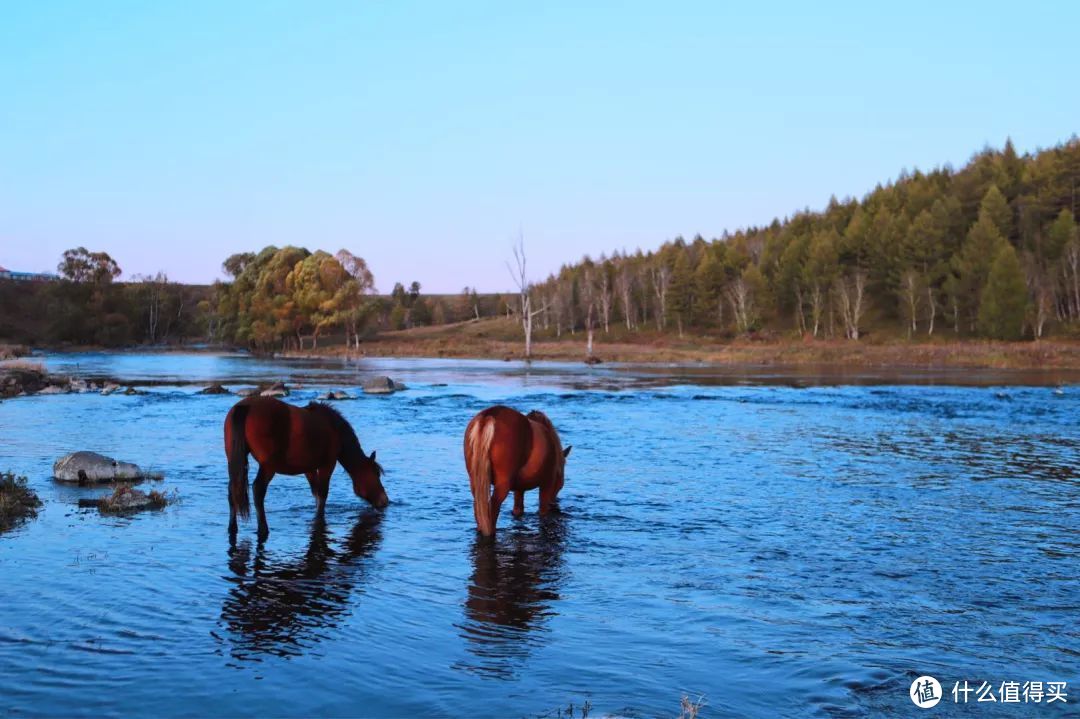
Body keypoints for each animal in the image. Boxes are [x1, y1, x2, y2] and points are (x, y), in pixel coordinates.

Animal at [221, 395, 386, 535]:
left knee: (232, 490)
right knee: (258, 490)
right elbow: (323, 494)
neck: (334, 428)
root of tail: (245, 407)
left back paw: (232, 527)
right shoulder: (328, 464)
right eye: (376, 474)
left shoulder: (309, 469)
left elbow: (316, 494)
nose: (384, 500)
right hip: (268, 467)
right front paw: (319, 520)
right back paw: (263, 528)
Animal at [462, 399, 570, 535]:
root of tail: (488, 416)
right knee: (492, 510)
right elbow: (542, 512)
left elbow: (518, 510)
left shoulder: (519, 489)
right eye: (560, 483)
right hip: (502, 484)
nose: (554, 504)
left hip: (475, 483)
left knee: (479, 510)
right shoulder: (546, 485)